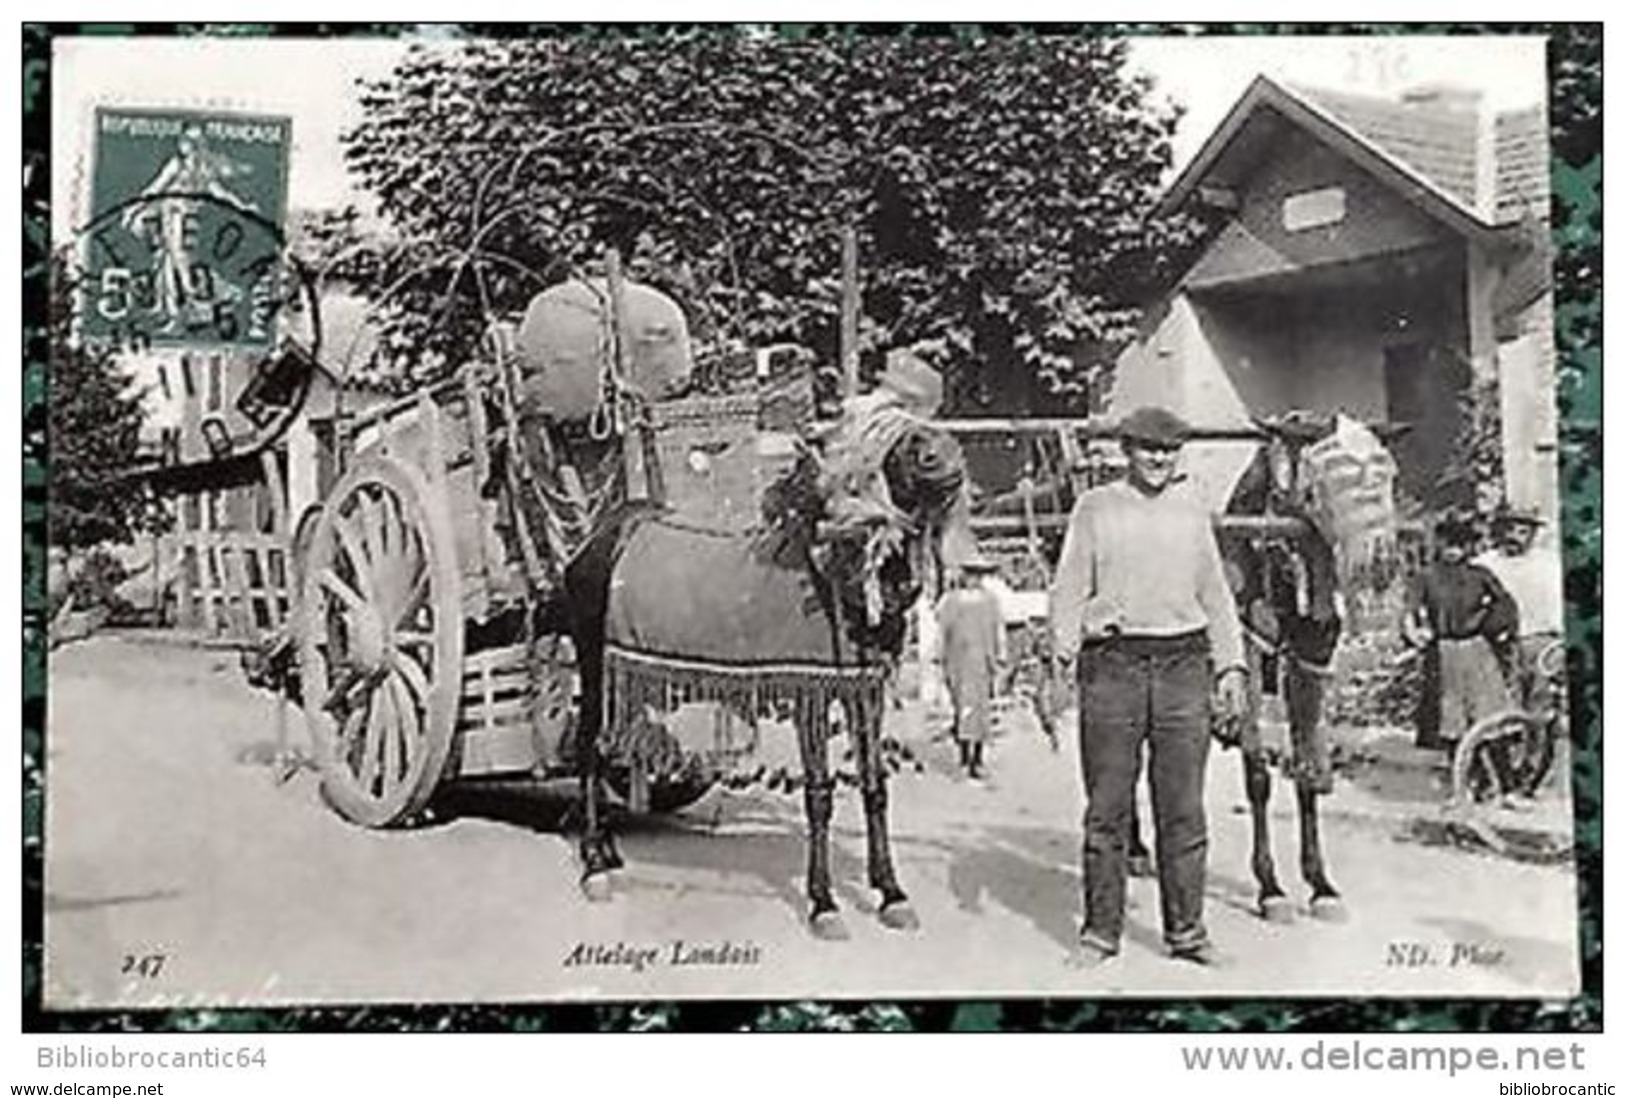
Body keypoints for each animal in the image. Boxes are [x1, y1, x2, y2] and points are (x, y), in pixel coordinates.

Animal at [559, 407, 968, 942]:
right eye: (899, 443)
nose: (946, 460)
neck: (836, 574)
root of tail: (599, 538)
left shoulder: (865, 692)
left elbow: (875, 786)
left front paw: (892, 893)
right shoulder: (810, 692)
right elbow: (819, 794)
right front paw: (823, 903)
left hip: (630, 681)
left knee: (616, 746)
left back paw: (608, 851)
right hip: (593, 668)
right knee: (588, 748)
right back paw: (594, 865)